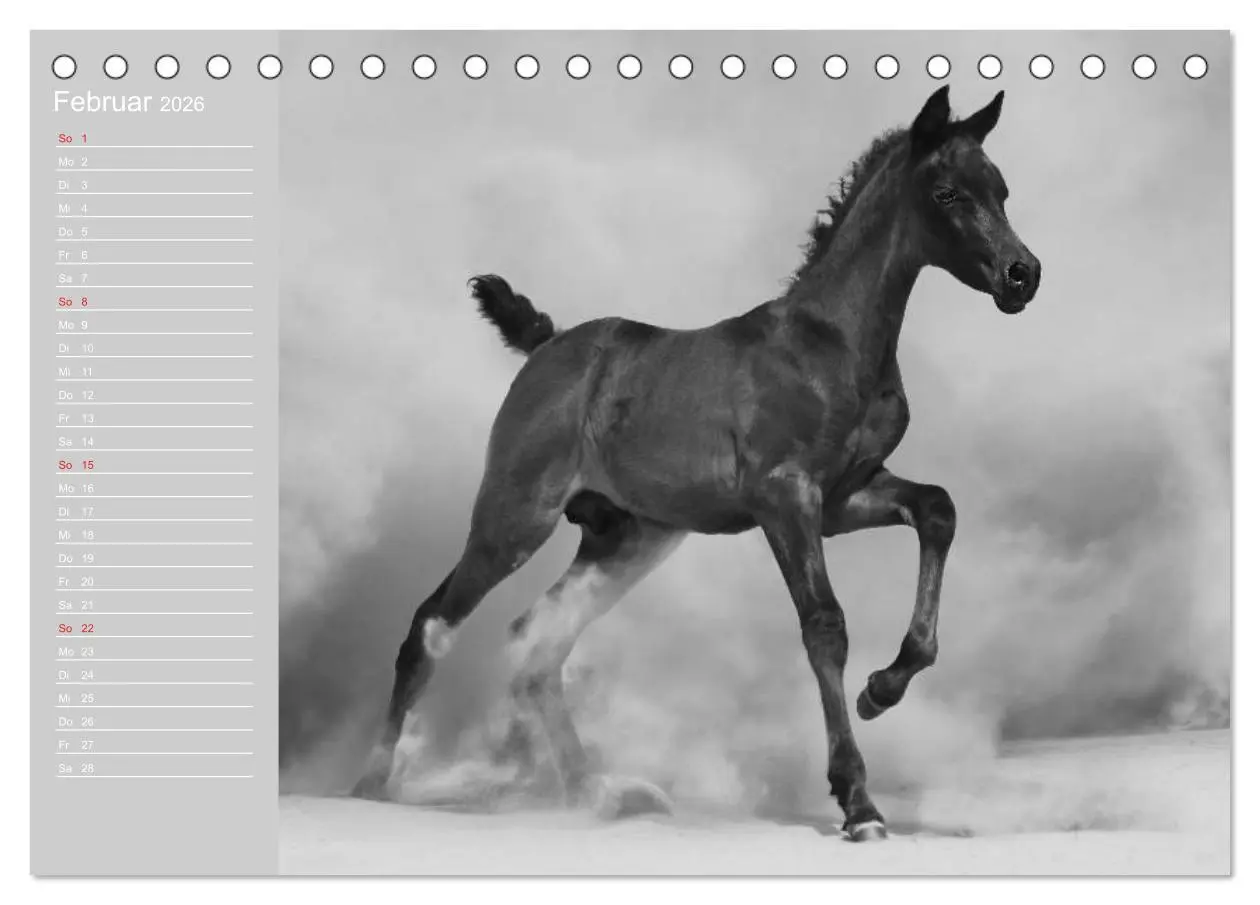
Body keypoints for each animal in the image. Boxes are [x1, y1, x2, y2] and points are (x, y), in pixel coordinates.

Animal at [351, 85, 1041, 842]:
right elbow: (825, 626)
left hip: (625, 539)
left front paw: (882, 689)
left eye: (1002, 190)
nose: (1023, 274)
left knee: (537, 643)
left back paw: (596, 793)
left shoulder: (844, 497)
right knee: (431, 624)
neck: (831, 344)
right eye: (947, 193)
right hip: (514, 518)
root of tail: (549, 345)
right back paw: (372, 782)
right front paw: (858, 801)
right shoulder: (785, 498)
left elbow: (938, 508)